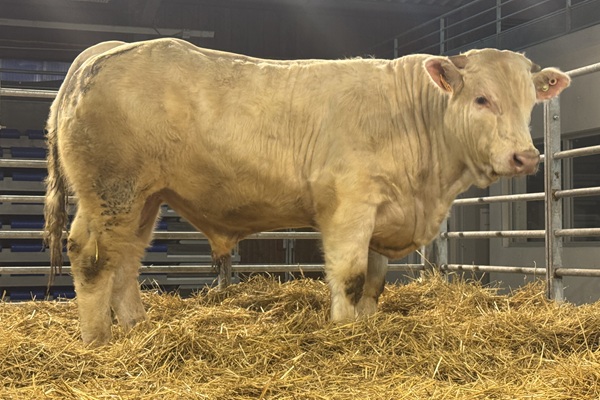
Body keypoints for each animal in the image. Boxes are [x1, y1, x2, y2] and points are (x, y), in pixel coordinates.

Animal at [44, 38, 570, 345]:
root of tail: (104, 53)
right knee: (91, 256)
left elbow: (374, 284)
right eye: (482, 98)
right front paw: (343, 332)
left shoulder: (382, 214)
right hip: (111, 191)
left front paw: (366, 328)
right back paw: (98, 340)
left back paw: (136, 326)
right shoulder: (350, 205)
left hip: (143, 199)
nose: (526, 157)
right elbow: (350, 277)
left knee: (125, 261)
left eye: (530, 101)